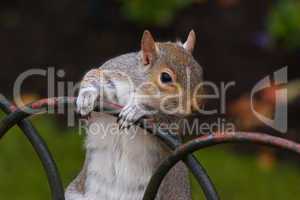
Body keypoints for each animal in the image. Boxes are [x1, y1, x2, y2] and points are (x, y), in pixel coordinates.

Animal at [66, 30, 204, 200]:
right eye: (165, 77)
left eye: (199, 72)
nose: (195, 106)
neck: (139, 89)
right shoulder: (114, 75)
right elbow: (93, 75)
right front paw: (86, 96)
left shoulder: (172, 126)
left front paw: (139, 108)